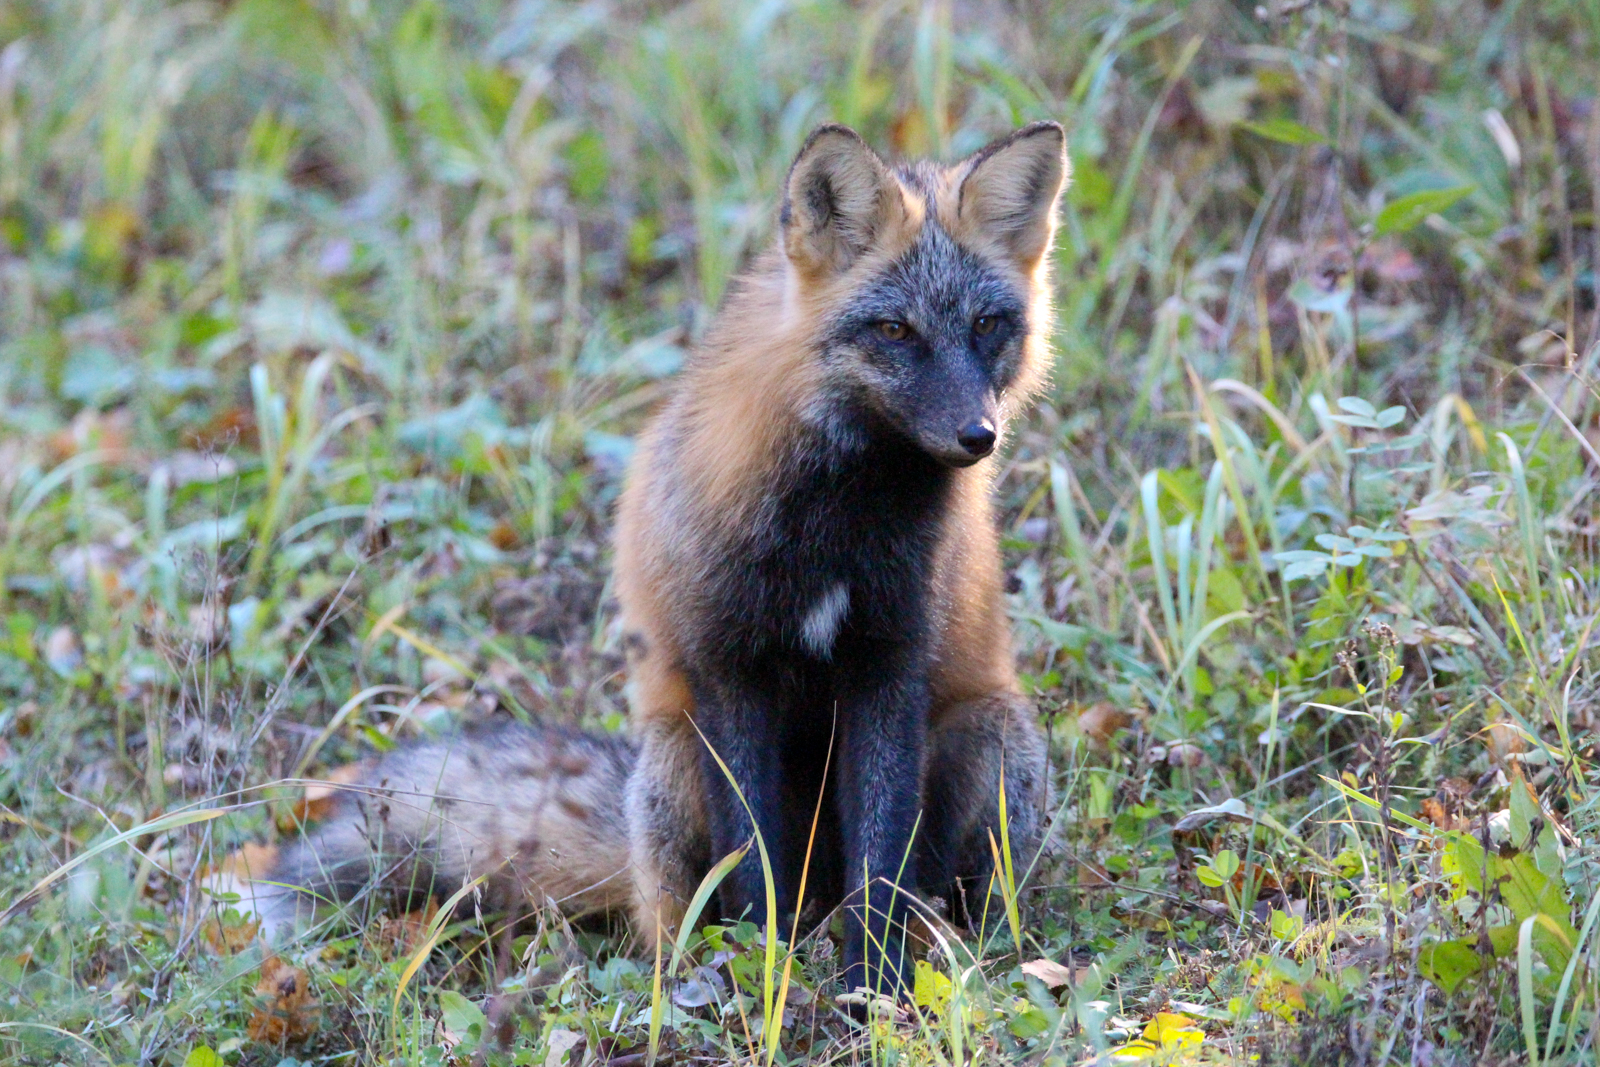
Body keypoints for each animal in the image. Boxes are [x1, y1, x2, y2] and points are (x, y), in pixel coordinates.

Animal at [222, 121, 1067, 1002]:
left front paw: (874, 983)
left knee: (937, 885)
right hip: (669, 761)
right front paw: (761, 970)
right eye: (896, 331)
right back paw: (700, 963)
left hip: (997, 734)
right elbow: (751, 857)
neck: (837, 529)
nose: (979, 435)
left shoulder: (889, 663)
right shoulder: (727, 664)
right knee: (672, 913)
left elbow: (882, 857)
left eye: (987, 325)